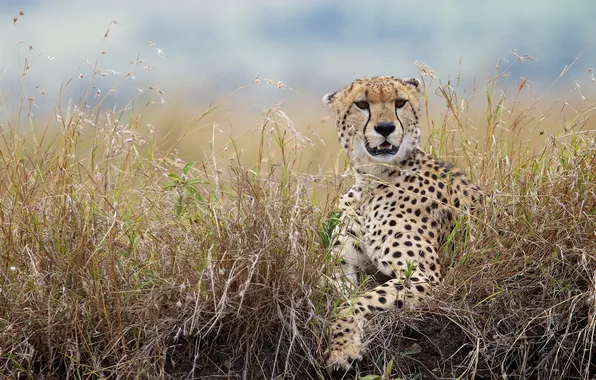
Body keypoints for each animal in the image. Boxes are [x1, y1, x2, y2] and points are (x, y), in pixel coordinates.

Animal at [322, 75, 484, 372]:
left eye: (400, 102)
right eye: (361, 104)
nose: (385, 127)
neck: (372, 180)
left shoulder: (423, 276)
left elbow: (357, 302)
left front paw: (342, 350)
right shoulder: (342, 267)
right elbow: (342, 297)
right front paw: (343, 345)